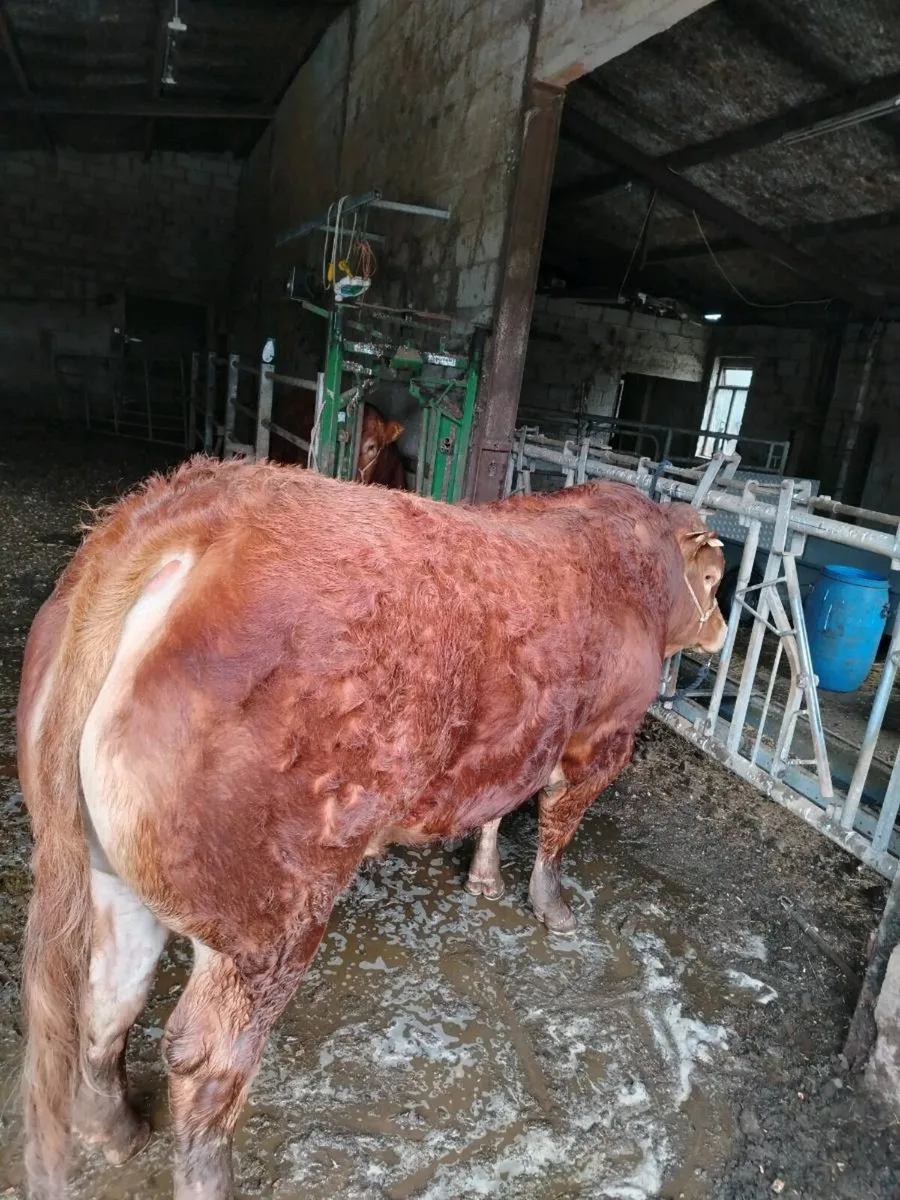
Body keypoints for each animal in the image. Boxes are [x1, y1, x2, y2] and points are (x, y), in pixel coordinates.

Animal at [17, 460, 725, 1200]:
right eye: (713, 579)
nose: (721, 635)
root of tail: (193, 508)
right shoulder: (603, 735)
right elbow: (557, 828)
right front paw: (553, 908)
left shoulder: (515, 742)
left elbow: (498, 807)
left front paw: (485, 880)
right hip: (273, 914)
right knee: (206, 1055)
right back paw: (206, 1172)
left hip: (110, 870)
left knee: (110, 992)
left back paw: (114, 1128)